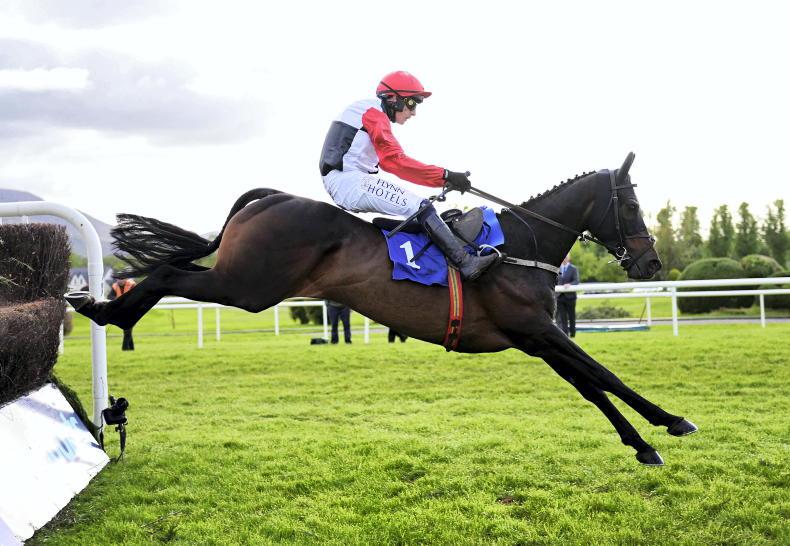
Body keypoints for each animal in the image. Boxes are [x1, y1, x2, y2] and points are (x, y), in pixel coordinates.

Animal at [67, 153, 697, 465]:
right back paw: (109, 314)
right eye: (631, 203)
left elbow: (591, 386)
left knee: (174, 271)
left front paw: (642, 442)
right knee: (170, 273)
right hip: (249, 287)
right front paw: (670, 421)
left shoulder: (535, 336)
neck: (522, 244)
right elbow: (605, 374)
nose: (650, 263)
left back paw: (104, 310)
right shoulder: (537, 327)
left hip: (244, 282)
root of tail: (268, 198)